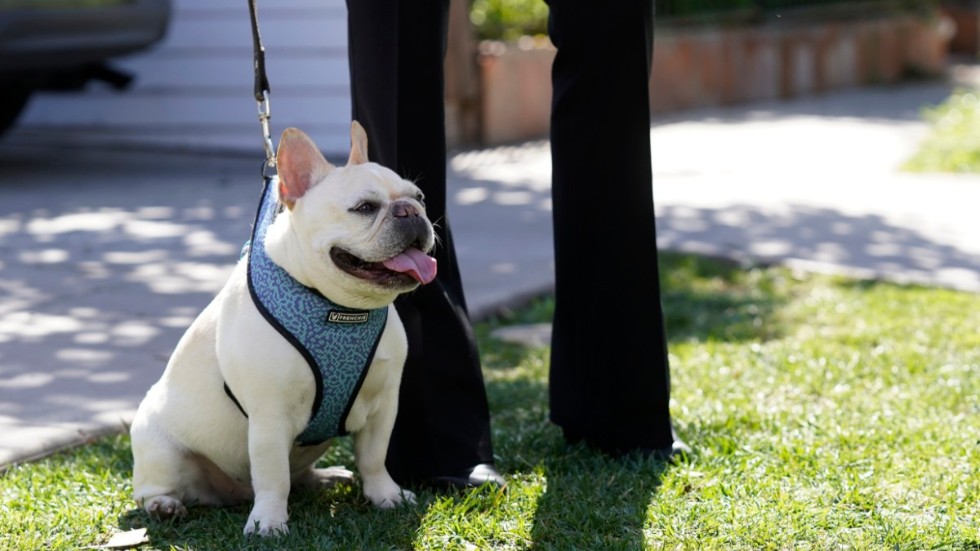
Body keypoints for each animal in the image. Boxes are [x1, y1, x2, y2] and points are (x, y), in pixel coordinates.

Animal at [130, 123, 436, 536]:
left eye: (419, 197)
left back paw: (324, 477)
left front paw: (385, 495)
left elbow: (374, 456)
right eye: (365, 208)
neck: (340, 308)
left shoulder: (384, 403)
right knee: (156, 487)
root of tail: (231, 493)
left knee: (299, 474)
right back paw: (164, 505)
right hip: (159, 446)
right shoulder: (269, 416)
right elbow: (273, 476)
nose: (411, 211)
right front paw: (268, 523)